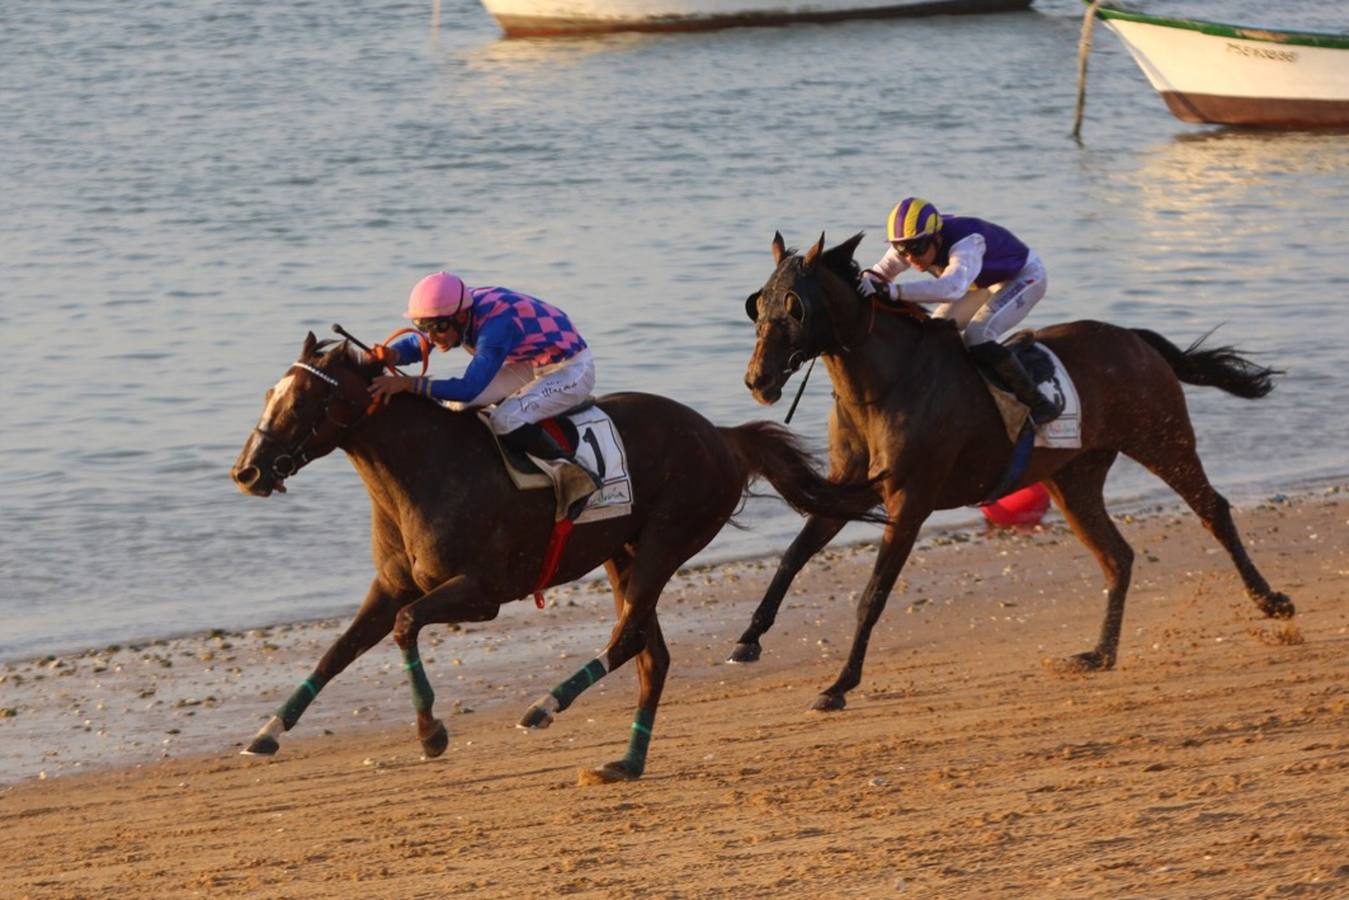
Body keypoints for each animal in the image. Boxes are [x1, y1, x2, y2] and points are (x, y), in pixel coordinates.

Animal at [232, 330, 884, 782]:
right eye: (269, 394)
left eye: (303, 400)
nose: (248, 472)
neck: (426, 467)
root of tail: (723, 437)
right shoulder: (392, 584)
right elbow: (338, 651)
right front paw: (266, 732)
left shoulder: (483, 593)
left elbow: (405, 626)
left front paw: (431, 732)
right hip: (624, 555)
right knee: (652, 657)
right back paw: (625, 763)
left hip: (665, 542)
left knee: (628, 641)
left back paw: (545, 706)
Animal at [739, 232, 1295, 712]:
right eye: (758, 305)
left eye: (795, 305)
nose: (757, 380)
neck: (886, 385)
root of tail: (1134, 339)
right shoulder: (847, 489)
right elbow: (792, 557)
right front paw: (748, 639)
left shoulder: (910, 501)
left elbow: (872, 595)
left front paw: (839, 684)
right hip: (1075, 478)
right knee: (1117, 556)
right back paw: (1097, 654)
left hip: (1162, 439)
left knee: (1212, 510)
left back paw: (1271, 602)